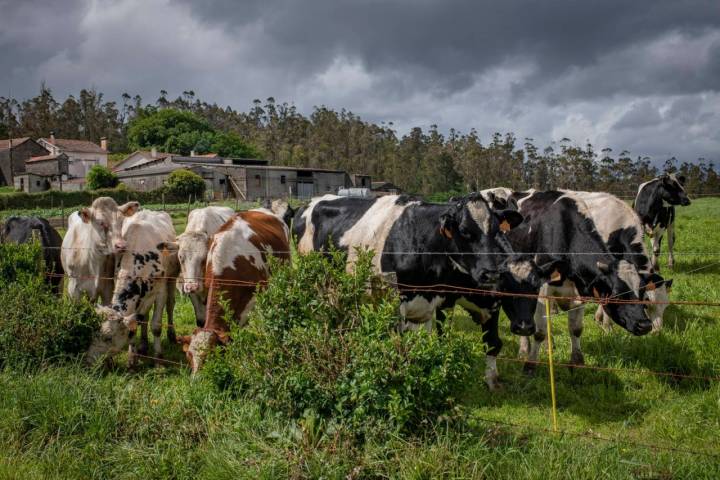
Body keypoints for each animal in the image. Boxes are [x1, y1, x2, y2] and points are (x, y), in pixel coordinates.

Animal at [86, 210, 180, 368]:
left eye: (108, 337)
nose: (89, 360)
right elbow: (133, 326)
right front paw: (132, 358)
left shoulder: (160, 292)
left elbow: (156, 326)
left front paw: (159, 359)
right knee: (144, 317)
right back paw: (143, 345)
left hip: (172, 278)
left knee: (170, 305)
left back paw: (171, 335)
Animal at [294, 193, 528, 388]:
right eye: (464, 231)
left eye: (497, 230)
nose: (491, 274)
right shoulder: (395, 301)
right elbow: (399, 346)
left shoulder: (439, 300)